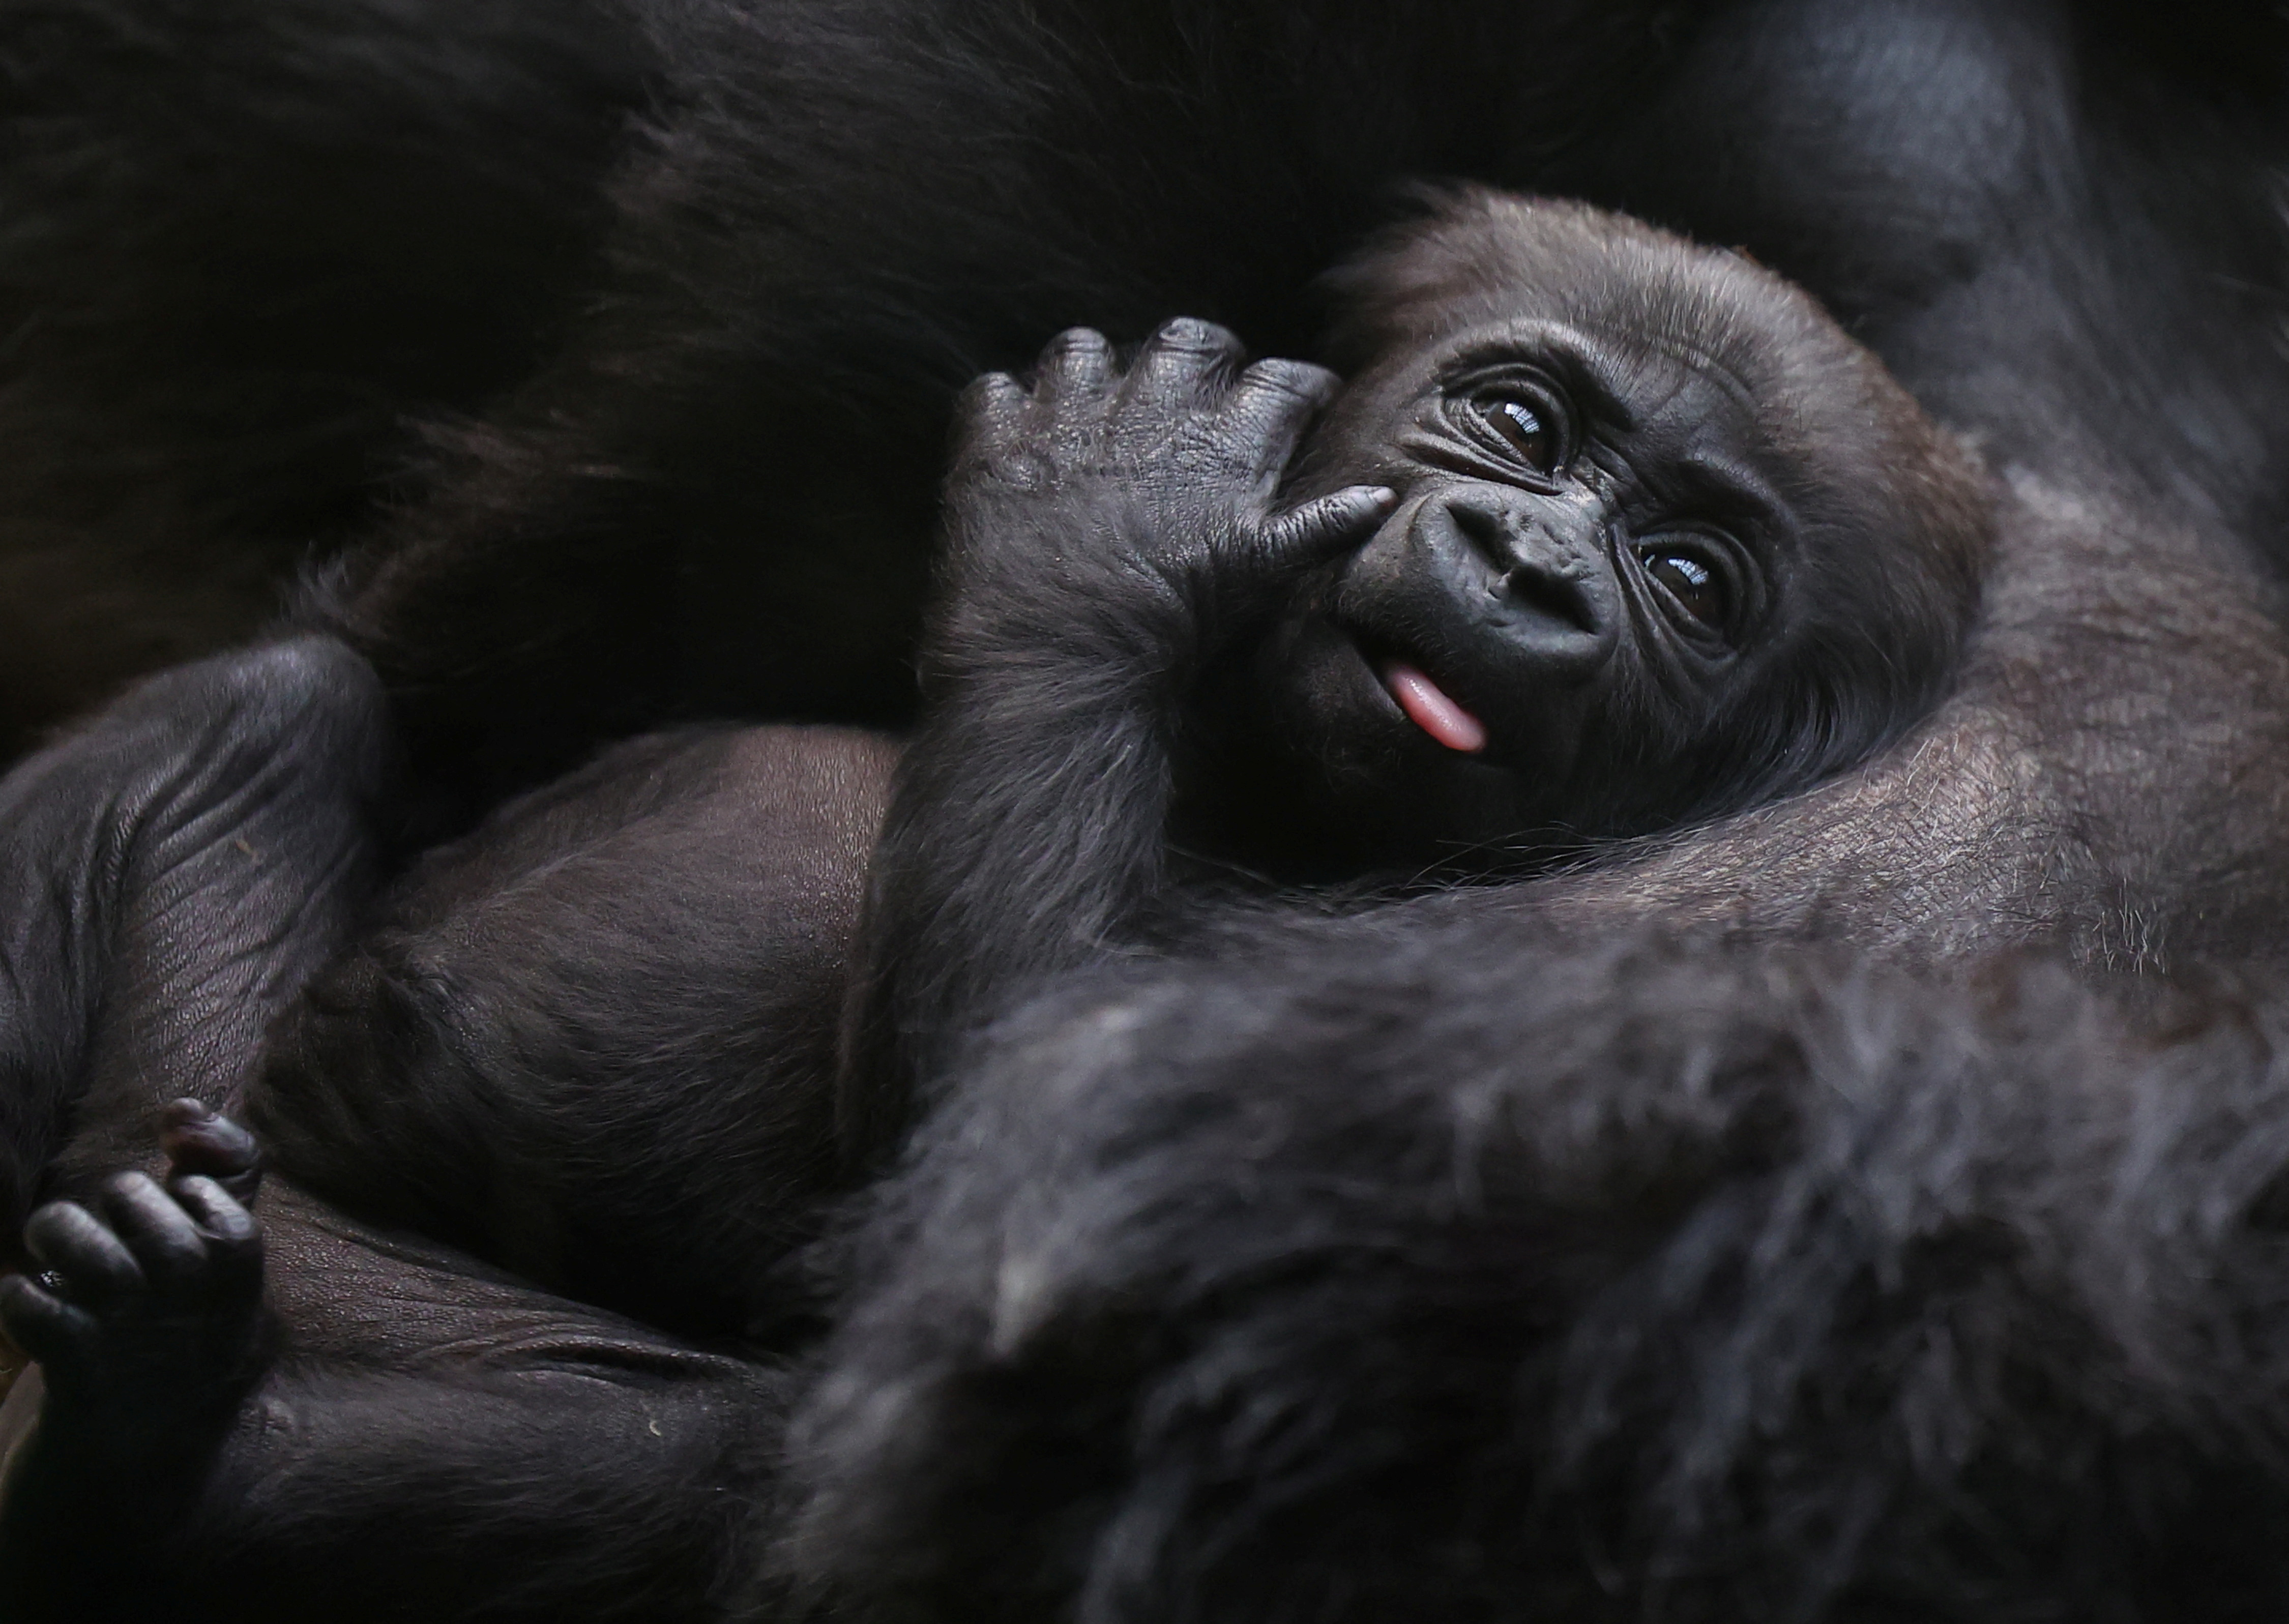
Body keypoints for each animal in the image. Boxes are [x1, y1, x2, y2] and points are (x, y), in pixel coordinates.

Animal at [0, 0, 2289, 1619]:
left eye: (1693, 578)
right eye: (1521, 421)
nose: (1533, 570)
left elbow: (1012, 1151)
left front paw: (1083, 561)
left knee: (699, 1451)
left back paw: (142, 1451)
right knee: (270, 725)